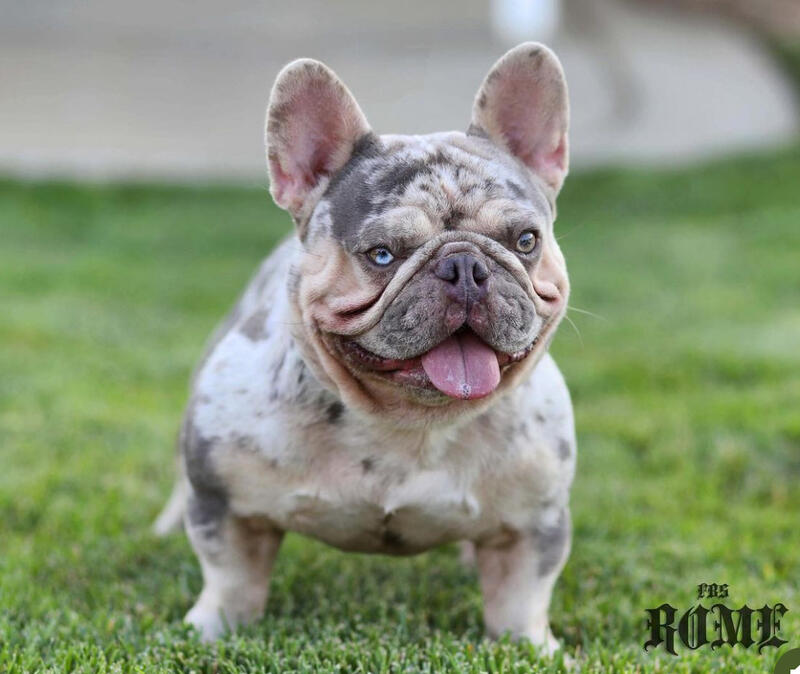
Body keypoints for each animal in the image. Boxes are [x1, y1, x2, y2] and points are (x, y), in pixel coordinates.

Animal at [154, 41, 576, 655]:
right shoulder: (225, 503)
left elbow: (522, 599)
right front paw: (211, 633)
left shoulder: (533, 524)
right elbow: (229, 577)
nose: (466, 267)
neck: (406, 423)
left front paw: (530, 649)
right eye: (381, 254)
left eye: (525, 241)